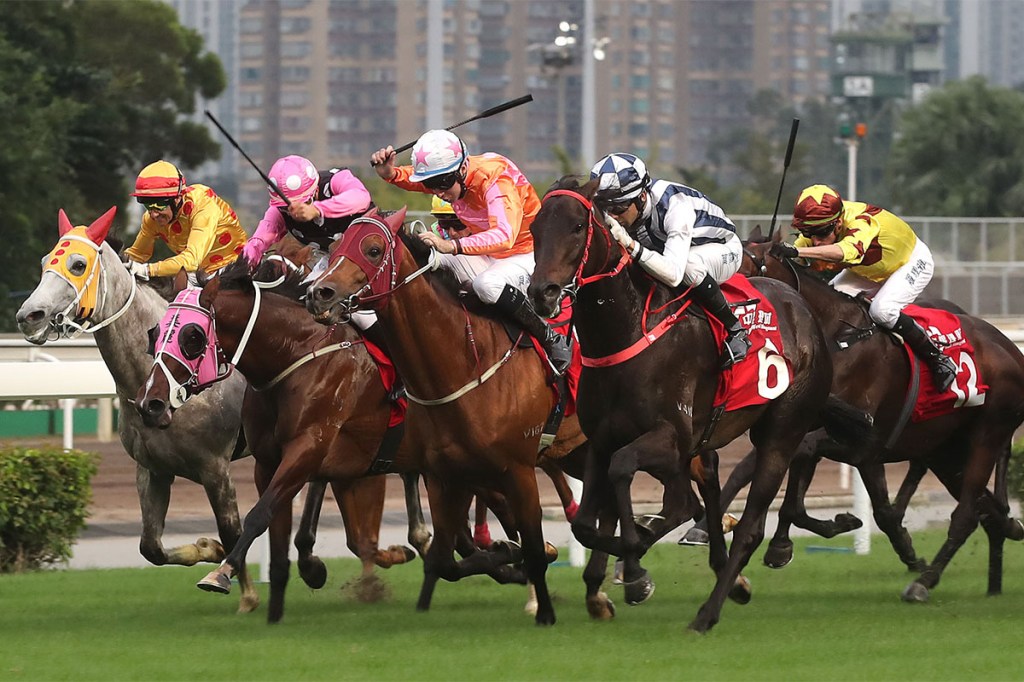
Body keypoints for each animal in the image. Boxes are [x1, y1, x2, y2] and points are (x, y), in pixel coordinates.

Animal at [14, 208, 258, 612]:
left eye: (78, 263)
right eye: (45, 261)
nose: (28, 316)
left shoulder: (215, 467)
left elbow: (234, 529)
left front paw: (247, 597)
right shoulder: (152, 469)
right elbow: (151, 547)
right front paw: (207, 548)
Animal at [133, 257, 428, 623]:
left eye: (193, 337)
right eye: (155, 333)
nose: (150, 404)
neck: (296, 356)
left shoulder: (307, 447)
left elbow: (259, 514)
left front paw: (222, 573)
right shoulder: (270, 460)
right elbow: (274, 521)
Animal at [305, 207, 589, 626]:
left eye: (373, 250)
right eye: (337, 246)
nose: (319, 293)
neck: (466, 361)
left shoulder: (518, 469)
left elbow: (533, 549)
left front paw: (541, 605)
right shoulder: (443, 475)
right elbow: (442, 559)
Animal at [526, 178, 850, 633]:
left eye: (576, 226)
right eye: (535, 229)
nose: (542, 293)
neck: (628, 331)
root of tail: (805, 312)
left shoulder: (671, 437)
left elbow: (631, 476)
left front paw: (635, 569)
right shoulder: (601, 440)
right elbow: (585, 525)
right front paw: (623, 568)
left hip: (781, 432)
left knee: (748, 528)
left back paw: (708, 612)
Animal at [739, 228, 1024, 601]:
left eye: (746, 265)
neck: (836, 337)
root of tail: (1011, 350)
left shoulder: (865, 440)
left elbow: (808, 461)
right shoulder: (825, 434)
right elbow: (799, 483)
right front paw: (785, 544)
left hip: (986, 436)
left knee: (965, 515)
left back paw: (924, 582)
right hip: (946, 452)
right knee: (984, 510)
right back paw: (1000, 551)